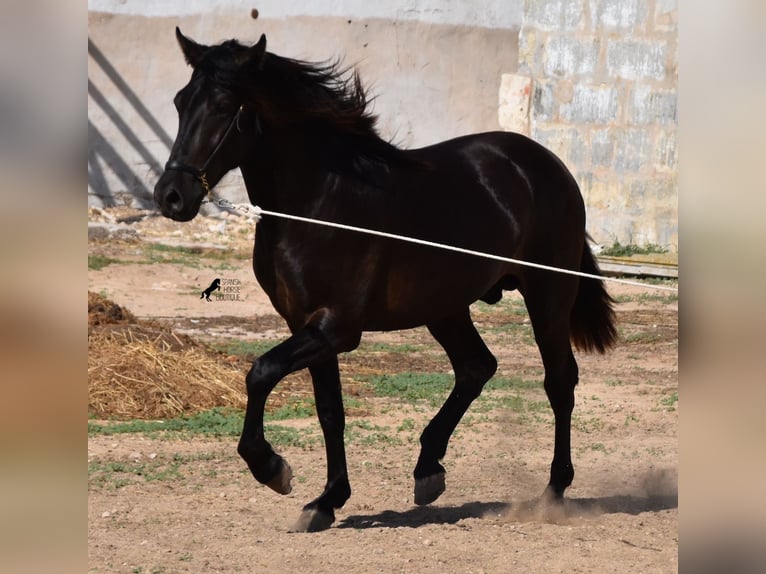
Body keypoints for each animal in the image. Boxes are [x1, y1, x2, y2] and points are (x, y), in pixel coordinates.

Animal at [154, 30, 616, 536]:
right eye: (180, 101)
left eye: (223, 105)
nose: (170, 197)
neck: (319, 204)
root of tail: (546, 164)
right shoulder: (306, 325)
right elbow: (329, 412)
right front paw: (326, 500)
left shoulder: (337, 328)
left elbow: (260, 372)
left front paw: (273, 469)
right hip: (445, 306)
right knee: (476, 367)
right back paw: (428, 469)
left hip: (547, 295)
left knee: (559, 381)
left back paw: (552, 491)